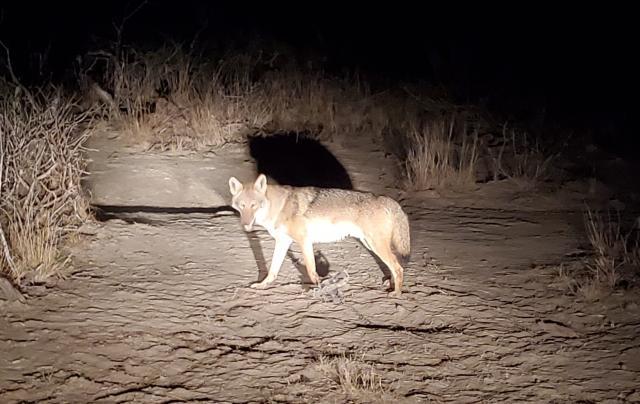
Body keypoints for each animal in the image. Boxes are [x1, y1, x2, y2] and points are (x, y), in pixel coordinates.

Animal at [228, 174, 411, 296]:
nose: (245, 224)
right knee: (395, 264)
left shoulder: (304, 241)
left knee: (398, 267)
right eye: (242, 206)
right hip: (371, 244)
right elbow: (273, 270)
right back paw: (391, 284)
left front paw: (319, 288)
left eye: (254, 205)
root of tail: (389, 200)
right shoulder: (283, 242)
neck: (278, 206)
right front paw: (262, 285)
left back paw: (396, 293)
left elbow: (311, 269)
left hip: (375, 245)